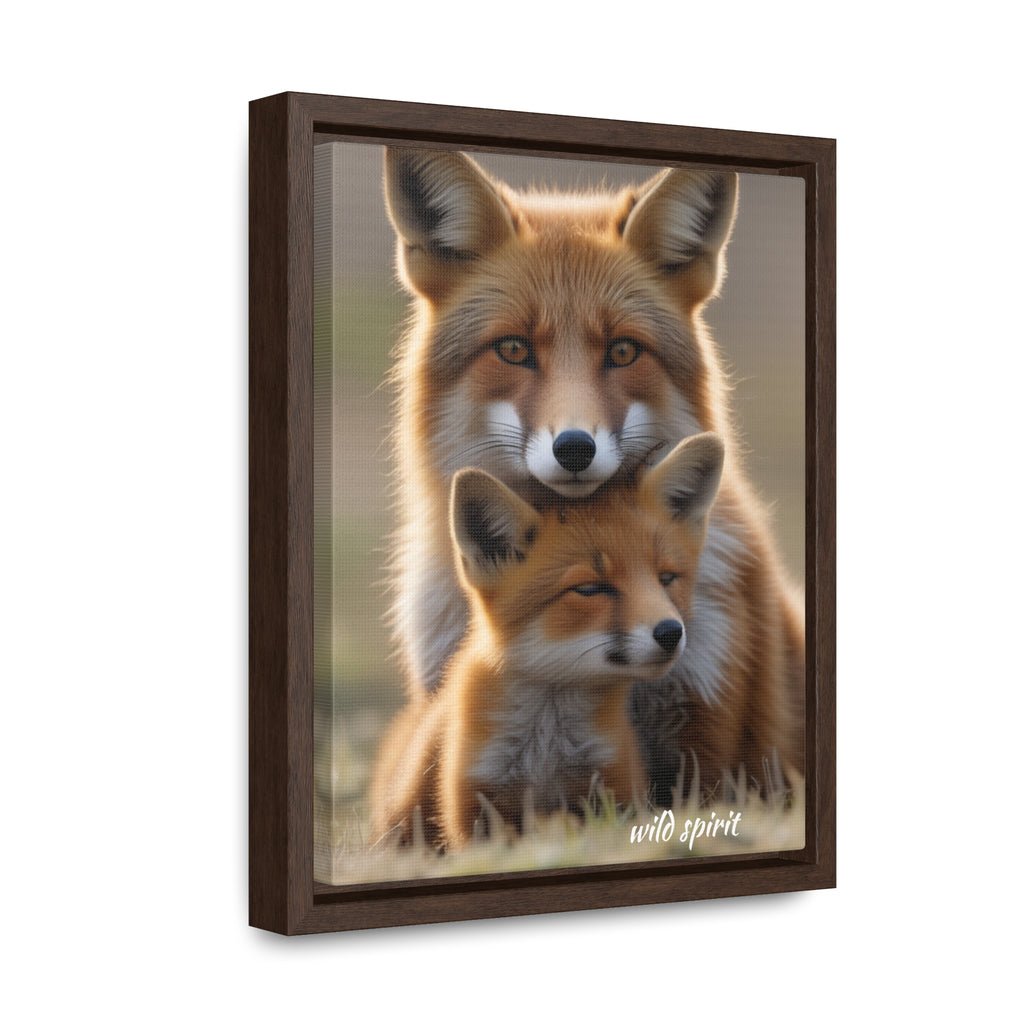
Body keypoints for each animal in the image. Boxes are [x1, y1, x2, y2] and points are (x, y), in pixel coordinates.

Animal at [371, 434, 725, 849]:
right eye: (589, 589)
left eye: (666, 578)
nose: (671, 632)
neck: (546, 750)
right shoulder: (475, 807)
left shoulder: (613, 786)